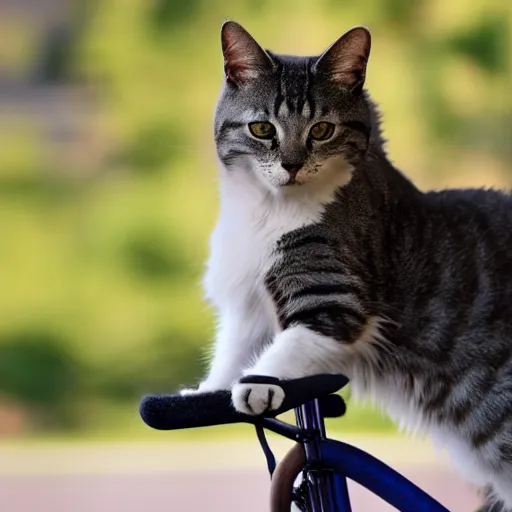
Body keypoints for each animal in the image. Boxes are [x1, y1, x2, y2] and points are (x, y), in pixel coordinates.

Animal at [186, 21, 512, 512]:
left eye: (322, 129)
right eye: (262, 128)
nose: (292, 164)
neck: (267, 210)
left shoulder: (336, 300)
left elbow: (289, 345)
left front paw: (257, 384)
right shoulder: (247, 305)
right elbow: (232, 348)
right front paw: (209, 390)